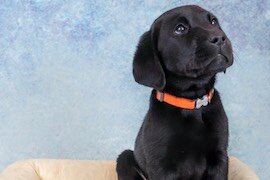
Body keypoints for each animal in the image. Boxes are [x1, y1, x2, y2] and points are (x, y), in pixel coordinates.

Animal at [117, 4, 233, 179]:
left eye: (213, 21)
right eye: (180, 29)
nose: (219, 38)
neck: (192, 103)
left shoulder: (220, 156)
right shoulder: (161, 165)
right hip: (124, 157)